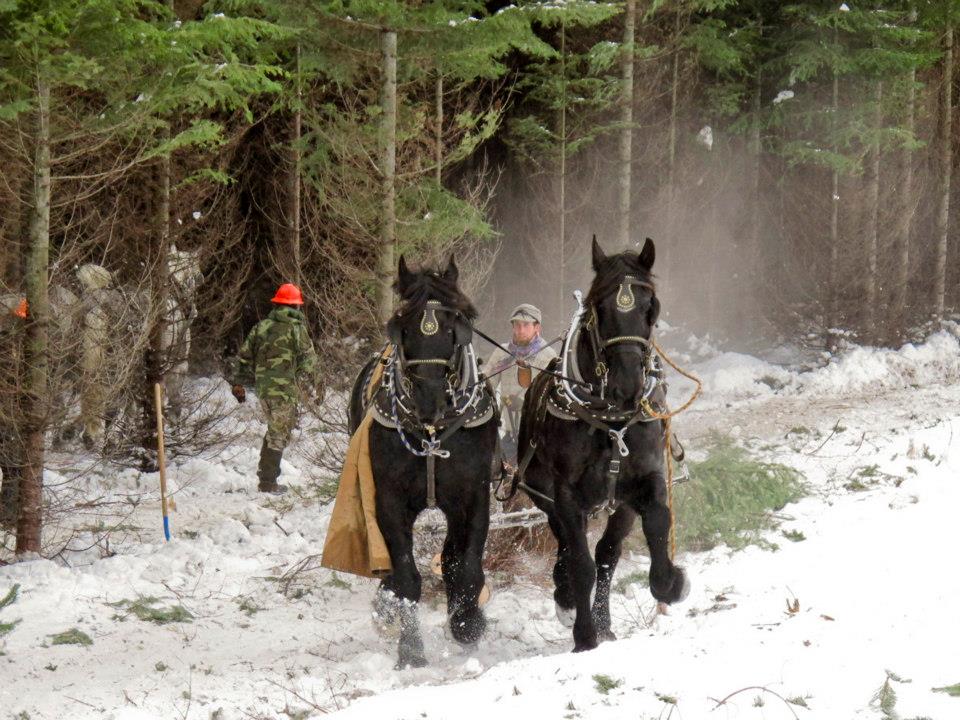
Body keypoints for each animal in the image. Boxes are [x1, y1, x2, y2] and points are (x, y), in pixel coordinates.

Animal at [348, 256, 497, 668]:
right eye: (403, 324)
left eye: (455, 323)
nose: (430, 398)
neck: (432, 430)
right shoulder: (390, 499)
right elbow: (405, 576)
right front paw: (410, 649)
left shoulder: (472, 497)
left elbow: (465, 566)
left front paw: (467, 624)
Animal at [515, 236, 689, 652]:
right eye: (600, 308)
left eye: (650, 306)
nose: (627, 385)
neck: (612, 422)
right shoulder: (565, 493)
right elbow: (580, 562)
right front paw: (583, 634)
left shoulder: (643, 479)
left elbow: (655, 523)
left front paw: (669, 582)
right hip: (545, 496)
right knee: (566, 542)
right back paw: (565, 598)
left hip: (616, 504)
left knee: (608, 553)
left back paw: (604, 620)